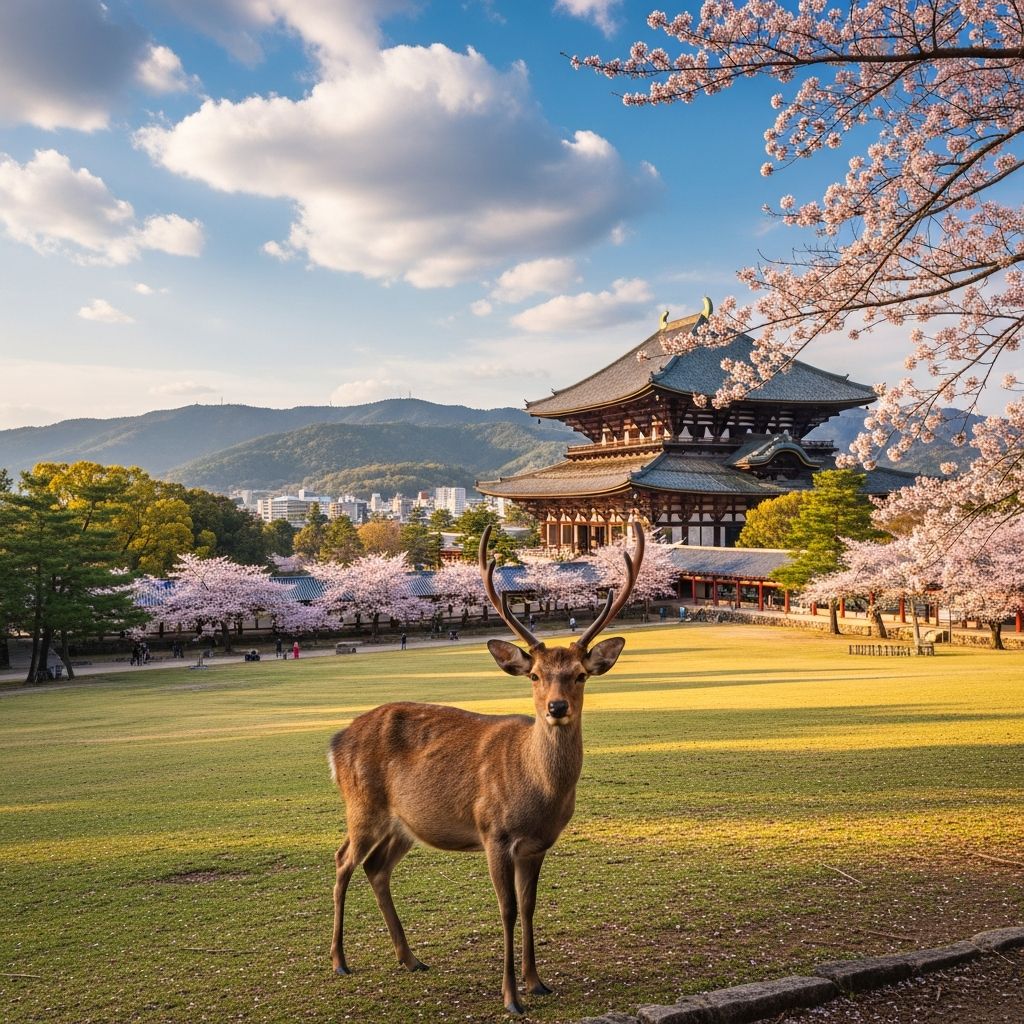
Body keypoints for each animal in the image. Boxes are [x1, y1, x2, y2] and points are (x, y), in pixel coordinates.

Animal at [327, 522, 644, 1015]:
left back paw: (410, 958)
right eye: (534, 675)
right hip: (361, 806)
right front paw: (511, 997)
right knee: (343, 861)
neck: (537, 792)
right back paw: (339, 961)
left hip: (404, 824)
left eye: (580, 675)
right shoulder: (494, 832)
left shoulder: (537, 844)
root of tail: (336, 741)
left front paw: (537, 982)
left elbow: (530, 906)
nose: (556, 708)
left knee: (377, 867)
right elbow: (507, 909)